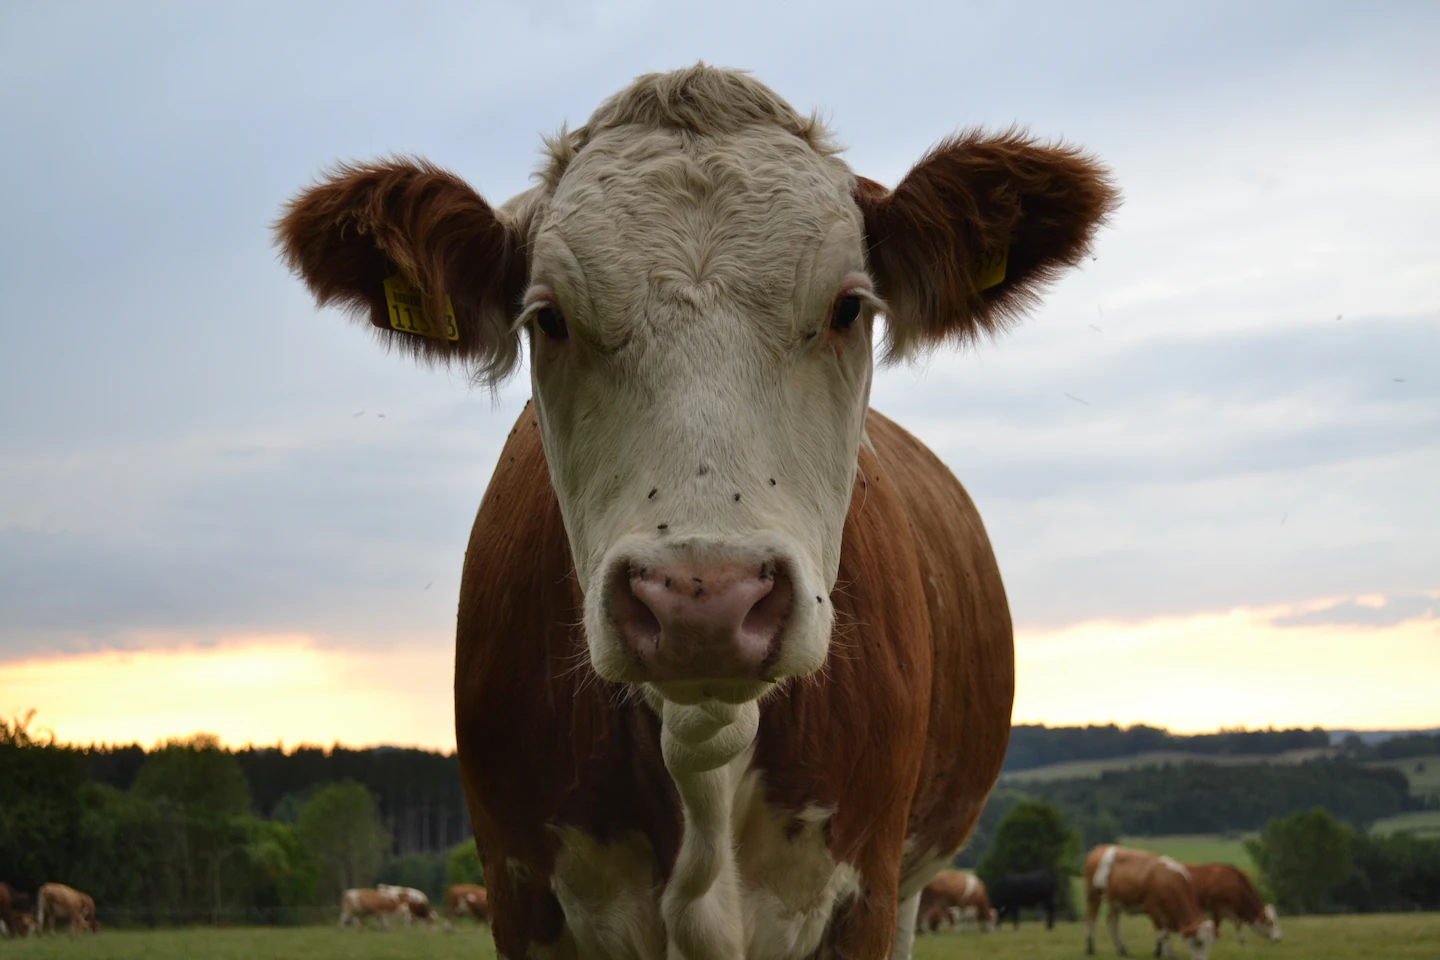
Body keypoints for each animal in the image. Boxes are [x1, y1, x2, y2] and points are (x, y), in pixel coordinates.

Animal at [1084, 845, 1216, 960]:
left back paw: (1122, 950)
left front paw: (1158, 951)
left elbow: (1165, 932)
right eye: (1198, 942)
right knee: (1091, 919)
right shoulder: (1151, 907)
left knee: (1113, 923)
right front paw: (1169, 954)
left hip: (1115, 902)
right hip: (1093, 895)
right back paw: (1090, 949)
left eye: (1210, 943)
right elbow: (1162, 931)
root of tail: (1100, 848)